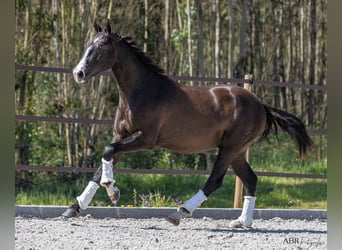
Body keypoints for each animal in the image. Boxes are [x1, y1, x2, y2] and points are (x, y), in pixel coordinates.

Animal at [62, 18, 314, 228]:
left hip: (229, 148)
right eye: (89, 45)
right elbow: (101, 165)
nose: (78, 73)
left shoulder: (146, 139)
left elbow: (106, 151)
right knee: (251, 180)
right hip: (238, 152)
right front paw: (76, 207)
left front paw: (111, 189)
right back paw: (242, 222)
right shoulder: (122, 136)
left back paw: (179, 213)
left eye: (101, 48)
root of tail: (261, 104)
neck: (142, 92)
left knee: (215, 181)